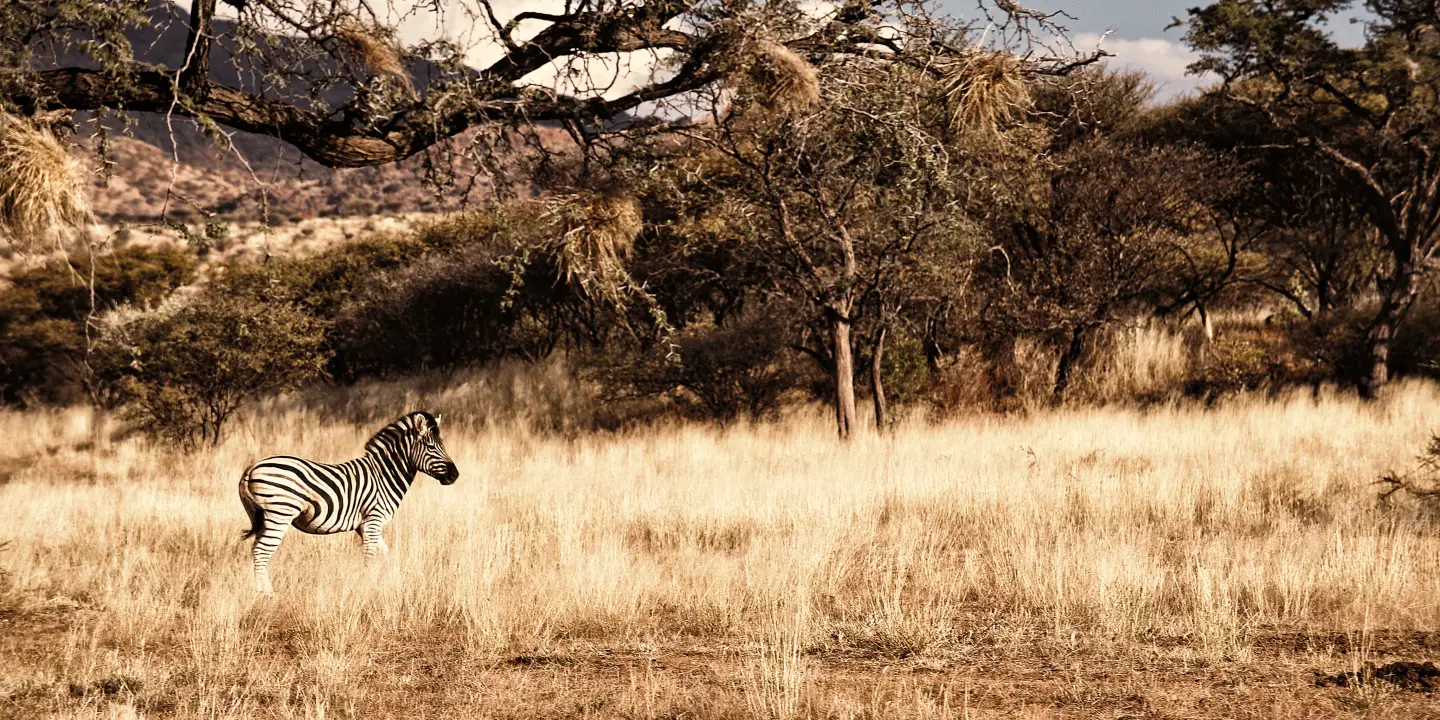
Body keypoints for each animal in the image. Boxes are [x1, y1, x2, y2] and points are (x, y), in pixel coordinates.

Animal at [239, 411, 459, 593]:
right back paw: (267, 594)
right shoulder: (373, 520)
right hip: (280, 514)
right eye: (431, 447)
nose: (455, 475)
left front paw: (387, 579)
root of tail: (252, 468)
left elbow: (384, 553)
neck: (383, 475)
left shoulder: (364, 525)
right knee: (261, 552)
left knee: (256, 550)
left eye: (443, 445)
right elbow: (369, 557)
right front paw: (369, 588)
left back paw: (262, 591)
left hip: (263, 518)